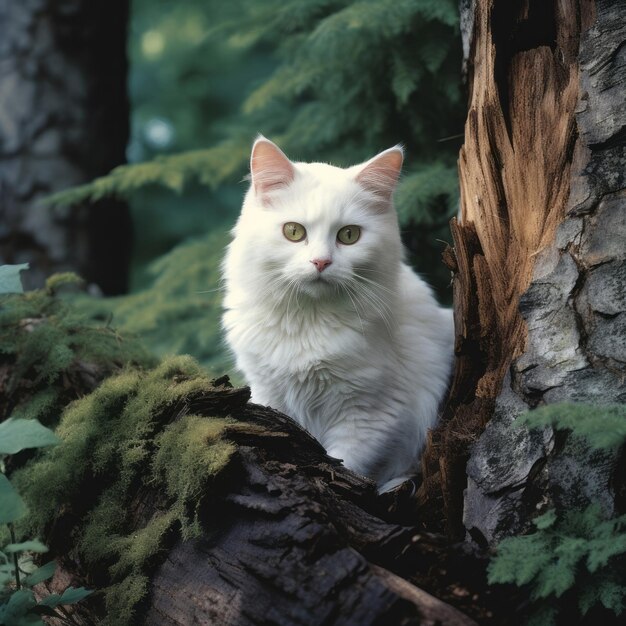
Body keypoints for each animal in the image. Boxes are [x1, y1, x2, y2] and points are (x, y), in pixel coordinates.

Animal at [222, 135, 450, 488]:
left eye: (349, 235)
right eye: (293, 232)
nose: (321, 262)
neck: (307, 320)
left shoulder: (371, 417)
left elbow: (344, 467)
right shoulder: (269, 395)